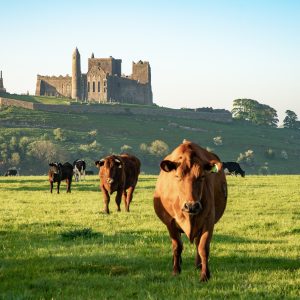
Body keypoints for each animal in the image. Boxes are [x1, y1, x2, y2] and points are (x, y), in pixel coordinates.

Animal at [155, 140, 227, 282]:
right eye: (177, 176)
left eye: (202, 176)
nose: (191, 206)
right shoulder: (170, 222)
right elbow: (177, 246)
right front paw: (176, 271)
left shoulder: (208, 221)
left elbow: (203, 247)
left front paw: (205, 275)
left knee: (198, 244)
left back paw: (198, 265)